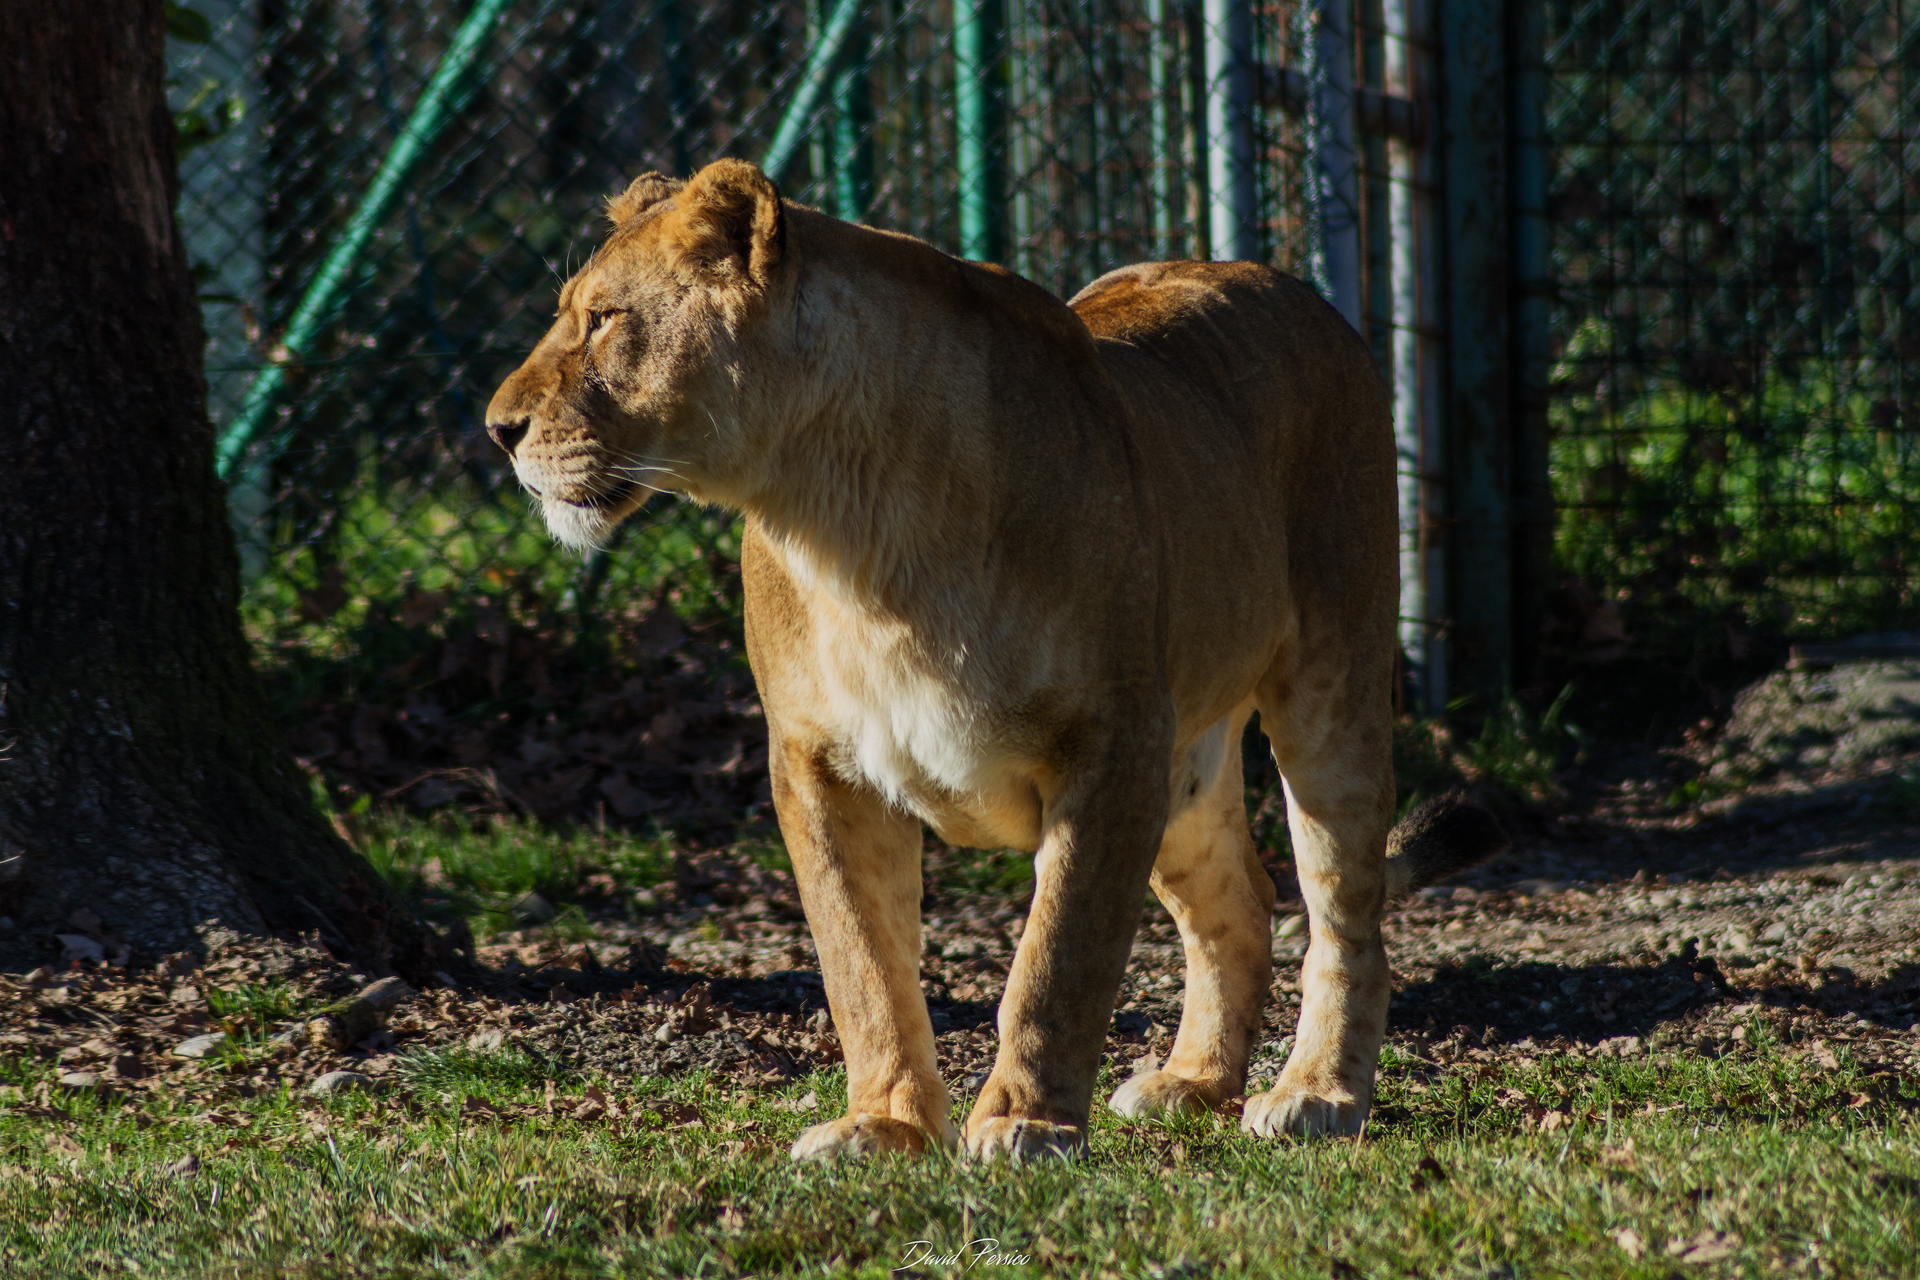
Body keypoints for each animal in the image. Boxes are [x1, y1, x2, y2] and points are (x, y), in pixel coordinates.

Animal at [486, 158, 1506, 1161]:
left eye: (603, 317)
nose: (498, 429)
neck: (848, 525)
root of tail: (1294, 290)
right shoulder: (817, 763)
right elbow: (863, 964)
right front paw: (888, 1123)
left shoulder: (1111, 745)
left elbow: (1056, 959)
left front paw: (1026, 1121)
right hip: (1184, 769)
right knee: (1244, 910)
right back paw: (1193, 1083)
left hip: (1325, 687)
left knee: (1346, 917)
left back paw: (1317, 1094)